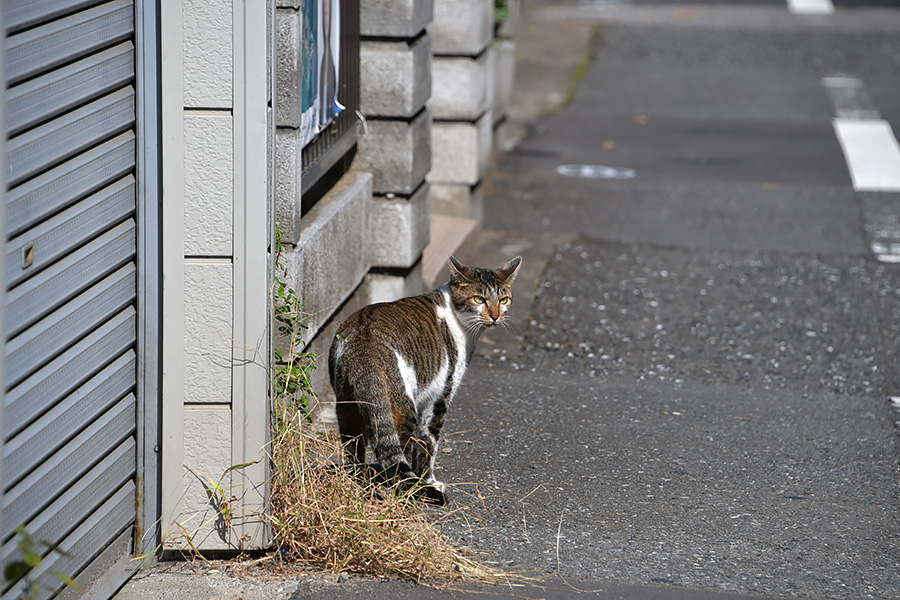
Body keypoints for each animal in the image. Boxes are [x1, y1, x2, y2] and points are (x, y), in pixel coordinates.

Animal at [326, 255, 520, 504]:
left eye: (504, 299)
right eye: (479, 299)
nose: (496, 316)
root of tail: (364, 340)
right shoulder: (440, 395)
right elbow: (428, 442)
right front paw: (428, 481)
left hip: (346, 406)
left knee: (353, 451)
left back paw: (359, 487)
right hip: (403, 404)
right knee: (403, 450)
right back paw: (411, 492)